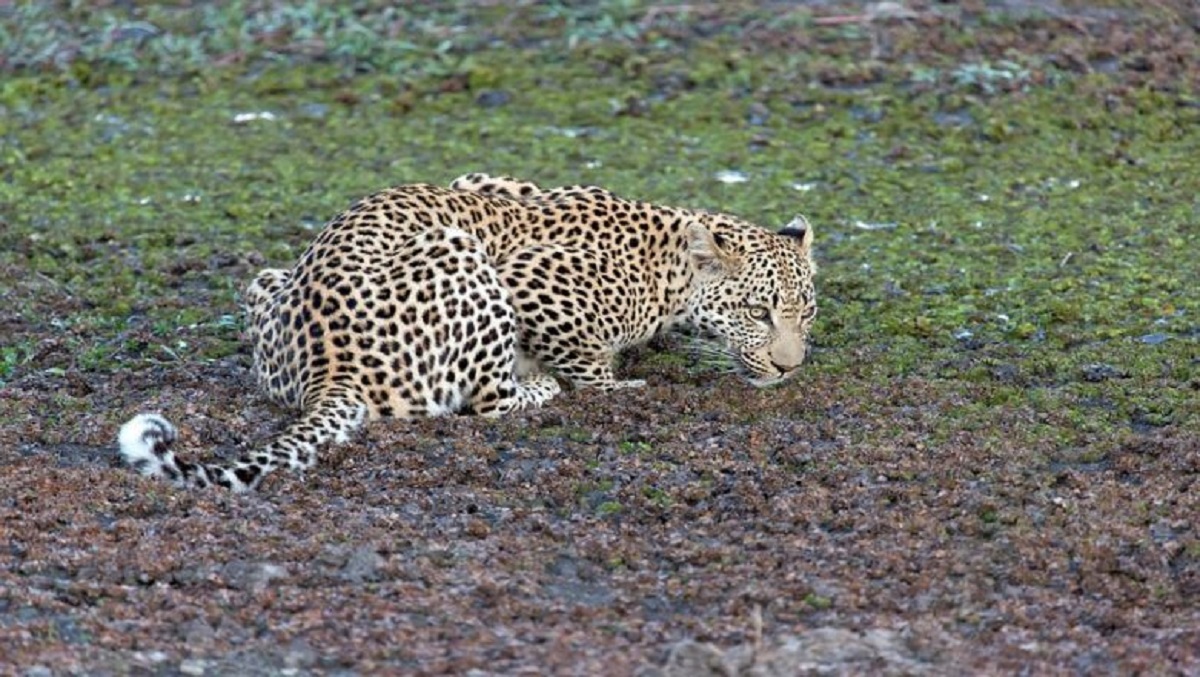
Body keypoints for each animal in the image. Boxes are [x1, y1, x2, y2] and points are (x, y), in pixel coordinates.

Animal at [119, 174, 816, 492]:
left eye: (804, 313)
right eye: (759, 312)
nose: (790, 367)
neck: (669, 257)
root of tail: (330, 372)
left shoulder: (483, 181)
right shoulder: (532, 281)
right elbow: (590, 365)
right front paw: (616, 384)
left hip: (268, 282)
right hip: (461, 255)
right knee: (488, 402)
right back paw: (540, 389)